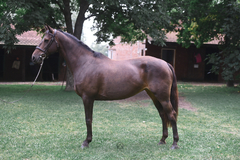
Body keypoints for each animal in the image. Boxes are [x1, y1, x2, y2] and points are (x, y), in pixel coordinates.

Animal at [31, 24, 179, 149]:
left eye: (46, 40)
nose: (34, 57)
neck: (85, 62)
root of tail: (165, 63)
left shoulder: (87, 98)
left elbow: (88, 119)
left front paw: (86, 142)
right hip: (154, 96)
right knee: (163, 115)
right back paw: (162, 140)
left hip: (163, 97)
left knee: (171, 114)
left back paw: (175, 143)